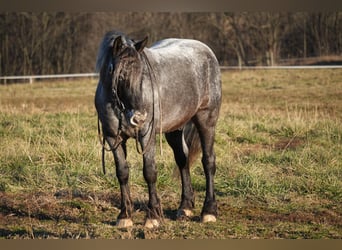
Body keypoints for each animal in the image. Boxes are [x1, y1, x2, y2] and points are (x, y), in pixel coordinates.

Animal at [94, 30, 222, 228]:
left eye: (143, 74)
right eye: (121, 74)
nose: (139, 117)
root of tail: (207, 51)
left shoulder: (146, 136)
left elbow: (149, 172)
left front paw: (153, 216)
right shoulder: (113, 138)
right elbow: (122, 173)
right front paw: (125, 215)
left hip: (206, 121)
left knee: (208, 162)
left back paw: (208, 211)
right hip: (175, 129)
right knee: (182, 160)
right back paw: (185, 207)